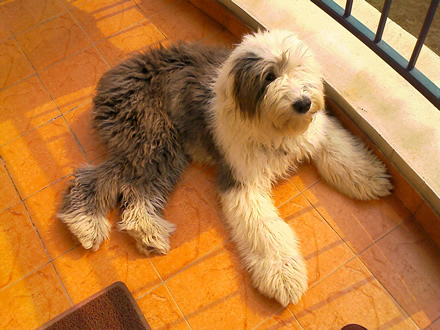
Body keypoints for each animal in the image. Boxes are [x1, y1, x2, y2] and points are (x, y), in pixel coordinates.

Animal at [58, 29, 392, 306]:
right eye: (269, 76)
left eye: (299, 68)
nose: (303, 103)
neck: (273, 126)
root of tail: (114, 75)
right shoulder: (241, 180)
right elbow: (266, 230)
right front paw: (283, 276)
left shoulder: (315, 131)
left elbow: (337, 148)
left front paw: (370, 176)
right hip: (151, 138)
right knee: (99, 178)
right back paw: (86, 223)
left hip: (162, 152)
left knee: (135, 188)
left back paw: (146, 231)